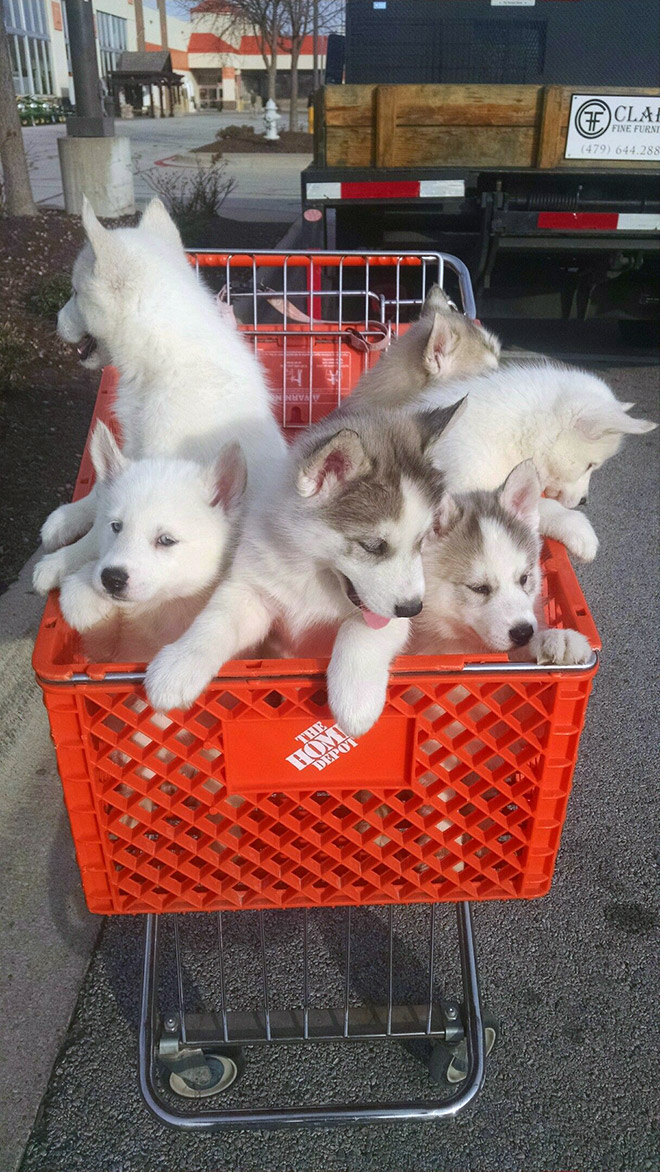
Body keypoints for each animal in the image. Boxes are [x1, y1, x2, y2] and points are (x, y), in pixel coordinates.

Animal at [34, 194, 283, 595]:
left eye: (74, 293)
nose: (55, 321)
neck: (166, 358)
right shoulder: (135, 446)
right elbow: (103, 492)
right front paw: (69, 516)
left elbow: (105, 525)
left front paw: (60, 562)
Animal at [144, 403, 464, 731]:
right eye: (373, 545)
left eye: (421, 541)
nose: (413, 608)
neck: (313, 576)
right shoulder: (251, 592)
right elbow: (215, 622)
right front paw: (178, 666)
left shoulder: (388, 620)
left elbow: (359, 632)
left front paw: (355, 699)